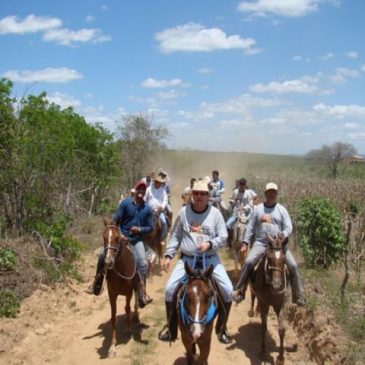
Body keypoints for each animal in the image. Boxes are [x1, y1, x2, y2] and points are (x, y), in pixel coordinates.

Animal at [102, 218, 139, 356]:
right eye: (104, 237)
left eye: (117, 238)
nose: (108, 262)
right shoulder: (111, 294)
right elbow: (113, 317)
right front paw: (112, 346)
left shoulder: (128, 292)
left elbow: (127, 308)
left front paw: (128, 329)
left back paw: (136, 315)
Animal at [247, 233, 288, 364]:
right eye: (269, 258)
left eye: (284, 259)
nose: (277, 285)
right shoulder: (264, 303)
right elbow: (264, 327)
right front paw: (263, 351)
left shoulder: (279, 304)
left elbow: (281, 330)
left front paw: (280, 357)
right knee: (253, 295)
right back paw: (252, 311)